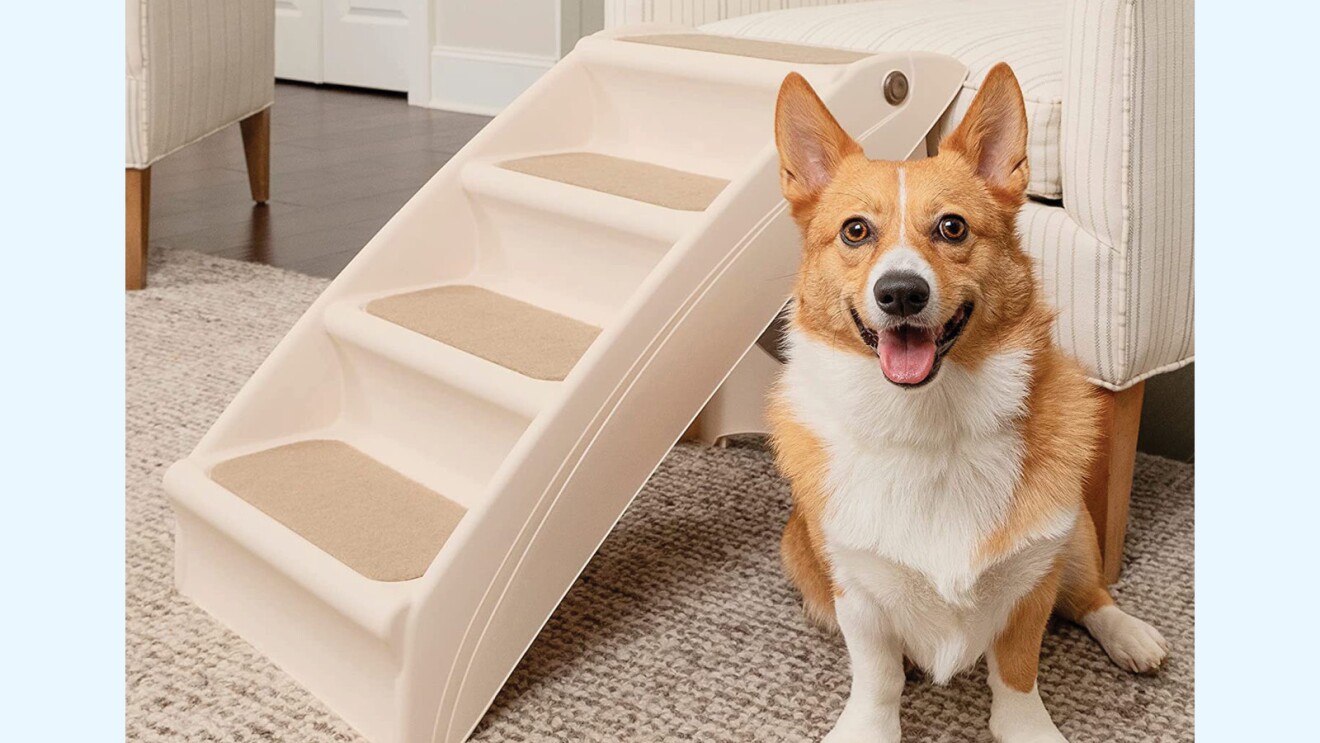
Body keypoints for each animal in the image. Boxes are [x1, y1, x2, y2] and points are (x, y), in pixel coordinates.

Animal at [770, 65, 1172, 743]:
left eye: (952, 227)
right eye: (856, 230)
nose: (901, 293)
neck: (930, 425)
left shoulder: (1032, 575)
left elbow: (1017, 670)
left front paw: (1028, 727)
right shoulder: (856, 591)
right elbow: (878, 677)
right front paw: (869, 725)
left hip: (1075, 533)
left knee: (1091, 597)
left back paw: (1132, 637)